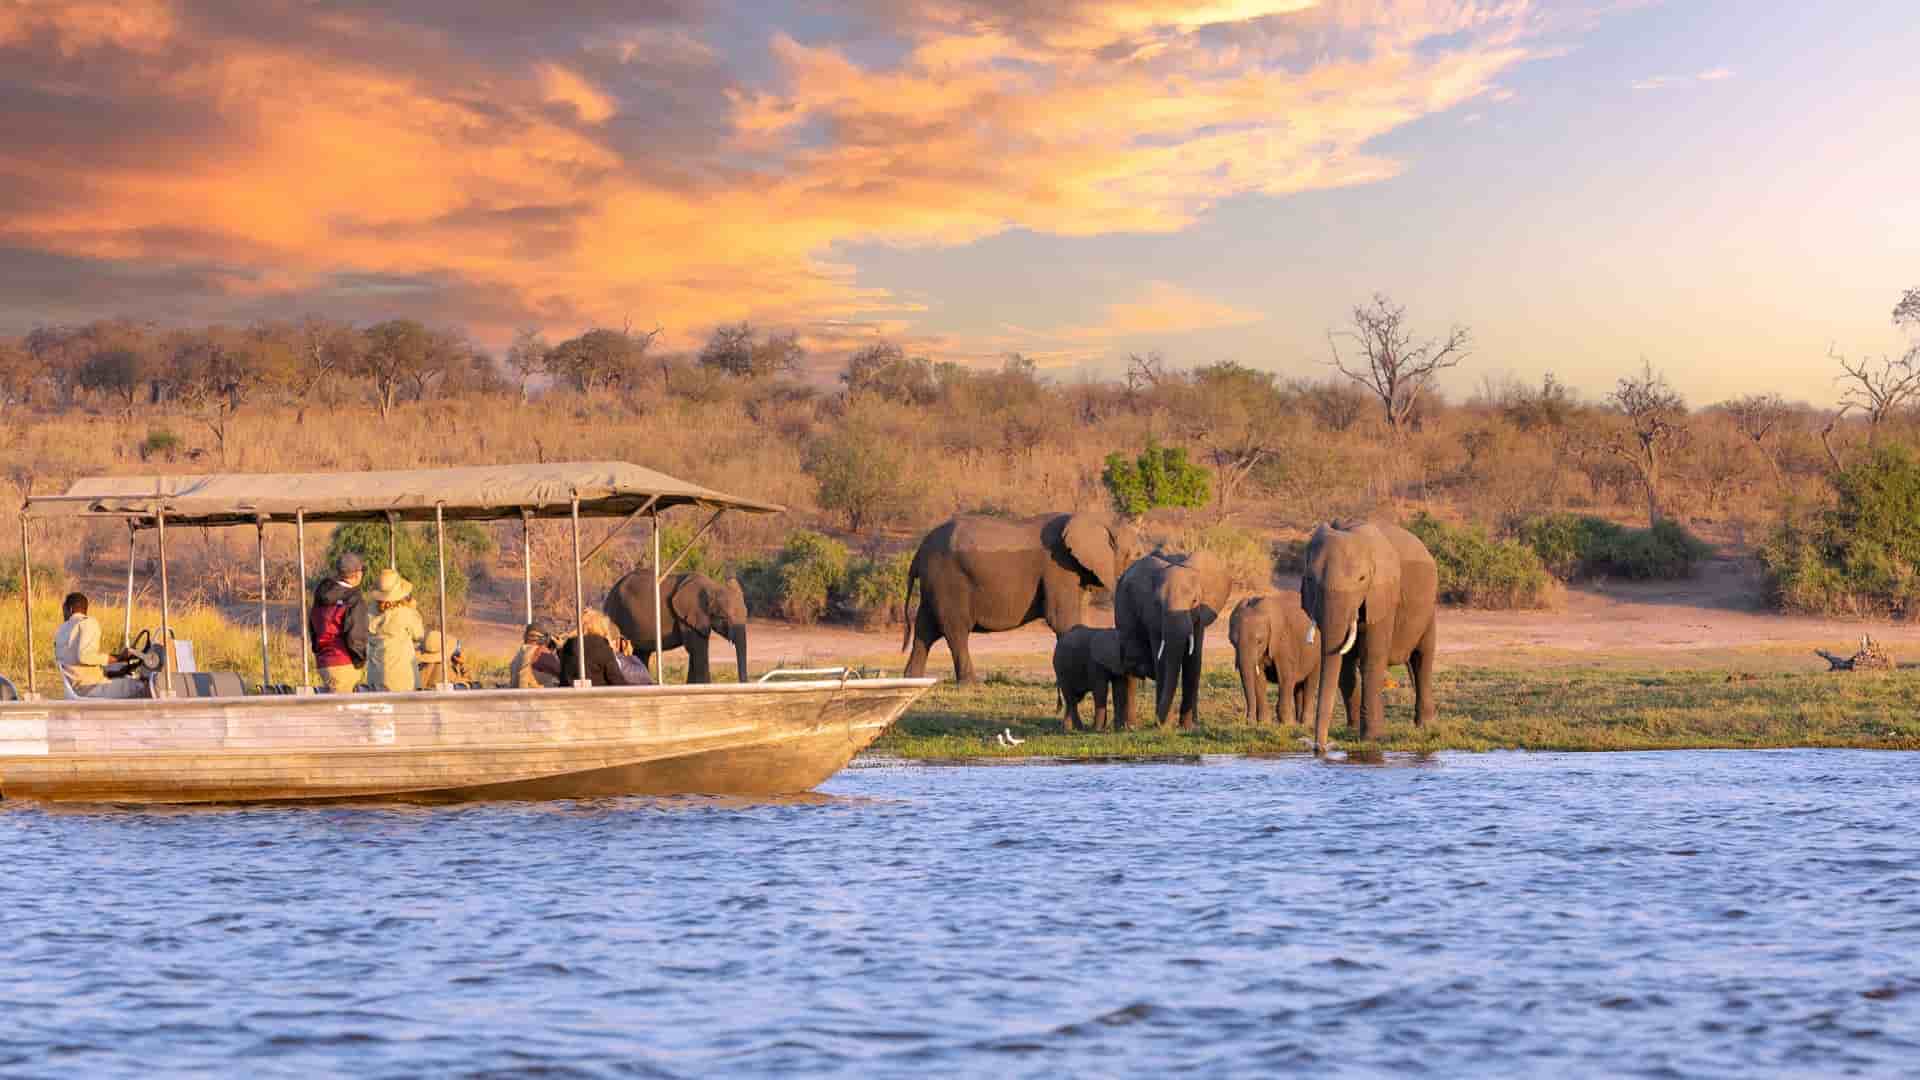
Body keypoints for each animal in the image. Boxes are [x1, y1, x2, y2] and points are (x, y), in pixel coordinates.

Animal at [604, 570, 749, 684]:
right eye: (724, 617)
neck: (712, 586)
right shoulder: (688, 616)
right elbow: (697, 648)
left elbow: (695, 650)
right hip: (614, 613)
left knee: (641, 654)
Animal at [902, 512, 1142, 682]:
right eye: (1136, 555)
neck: (1098, 518)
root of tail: (919, 552)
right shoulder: (1058, 567)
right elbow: (1062, 620)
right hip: (948, 580)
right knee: (955, 630)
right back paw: (970, 683)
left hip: (934, 584)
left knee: (925, 629)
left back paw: (911, 679)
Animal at [1112, 550, 1232, 729]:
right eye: (1158, 603)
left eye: (1195, 601)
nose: (1158, 723)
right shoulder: (1153, 617)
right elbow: (1162, 661)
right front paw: (1166, 725)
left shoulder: (1199, 618)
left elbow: (1194, 661)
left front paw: (1189, 727)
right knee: (1130, 664)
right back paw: (1129, 727)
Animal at [1228, 592, 1322, 727]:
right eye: (1232, 642)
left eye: (1259, 641)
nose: (1248, 721)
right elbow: (1259, 679)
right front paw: (1264, 723)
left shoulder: (1283, 642)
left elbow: (1285, 677)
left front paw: (1287, 724)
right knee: (1298, 686)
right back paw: (1298, 722)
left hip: (1318, 652)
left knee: (1311, 682)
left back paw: (1305, 724)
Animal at [1299, 521, 1439, 751]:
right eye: (1309, 579)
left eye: (1362, 579)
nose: (1320, 748)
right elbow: (1345, 668)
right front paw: (1352, 731)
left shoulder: (1383, 594)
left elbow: (1371, 659)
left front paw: (1372, 739)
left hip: (1429, 606)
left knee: (1422, 659)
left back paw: (1425, 726)